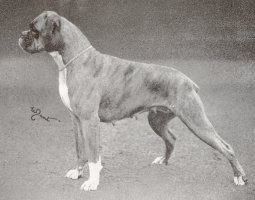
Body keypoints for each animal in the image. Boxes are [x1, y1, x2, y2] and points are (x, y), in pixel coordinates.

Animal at [18, 11, 247, 191]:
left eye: (34, 29)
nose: (21, 36)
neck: (73, 60)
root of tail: (187, 80)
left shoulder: (89, 121)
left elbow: (93, 154)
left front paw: (92, 182)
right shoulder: (76, 120)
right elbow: (80, 150)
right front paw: (78, 172)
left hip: (196, 122)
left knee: (226, 147)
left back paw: (239, 177)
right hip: (157, 120)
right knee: (171, 139)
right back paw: (163, 160)